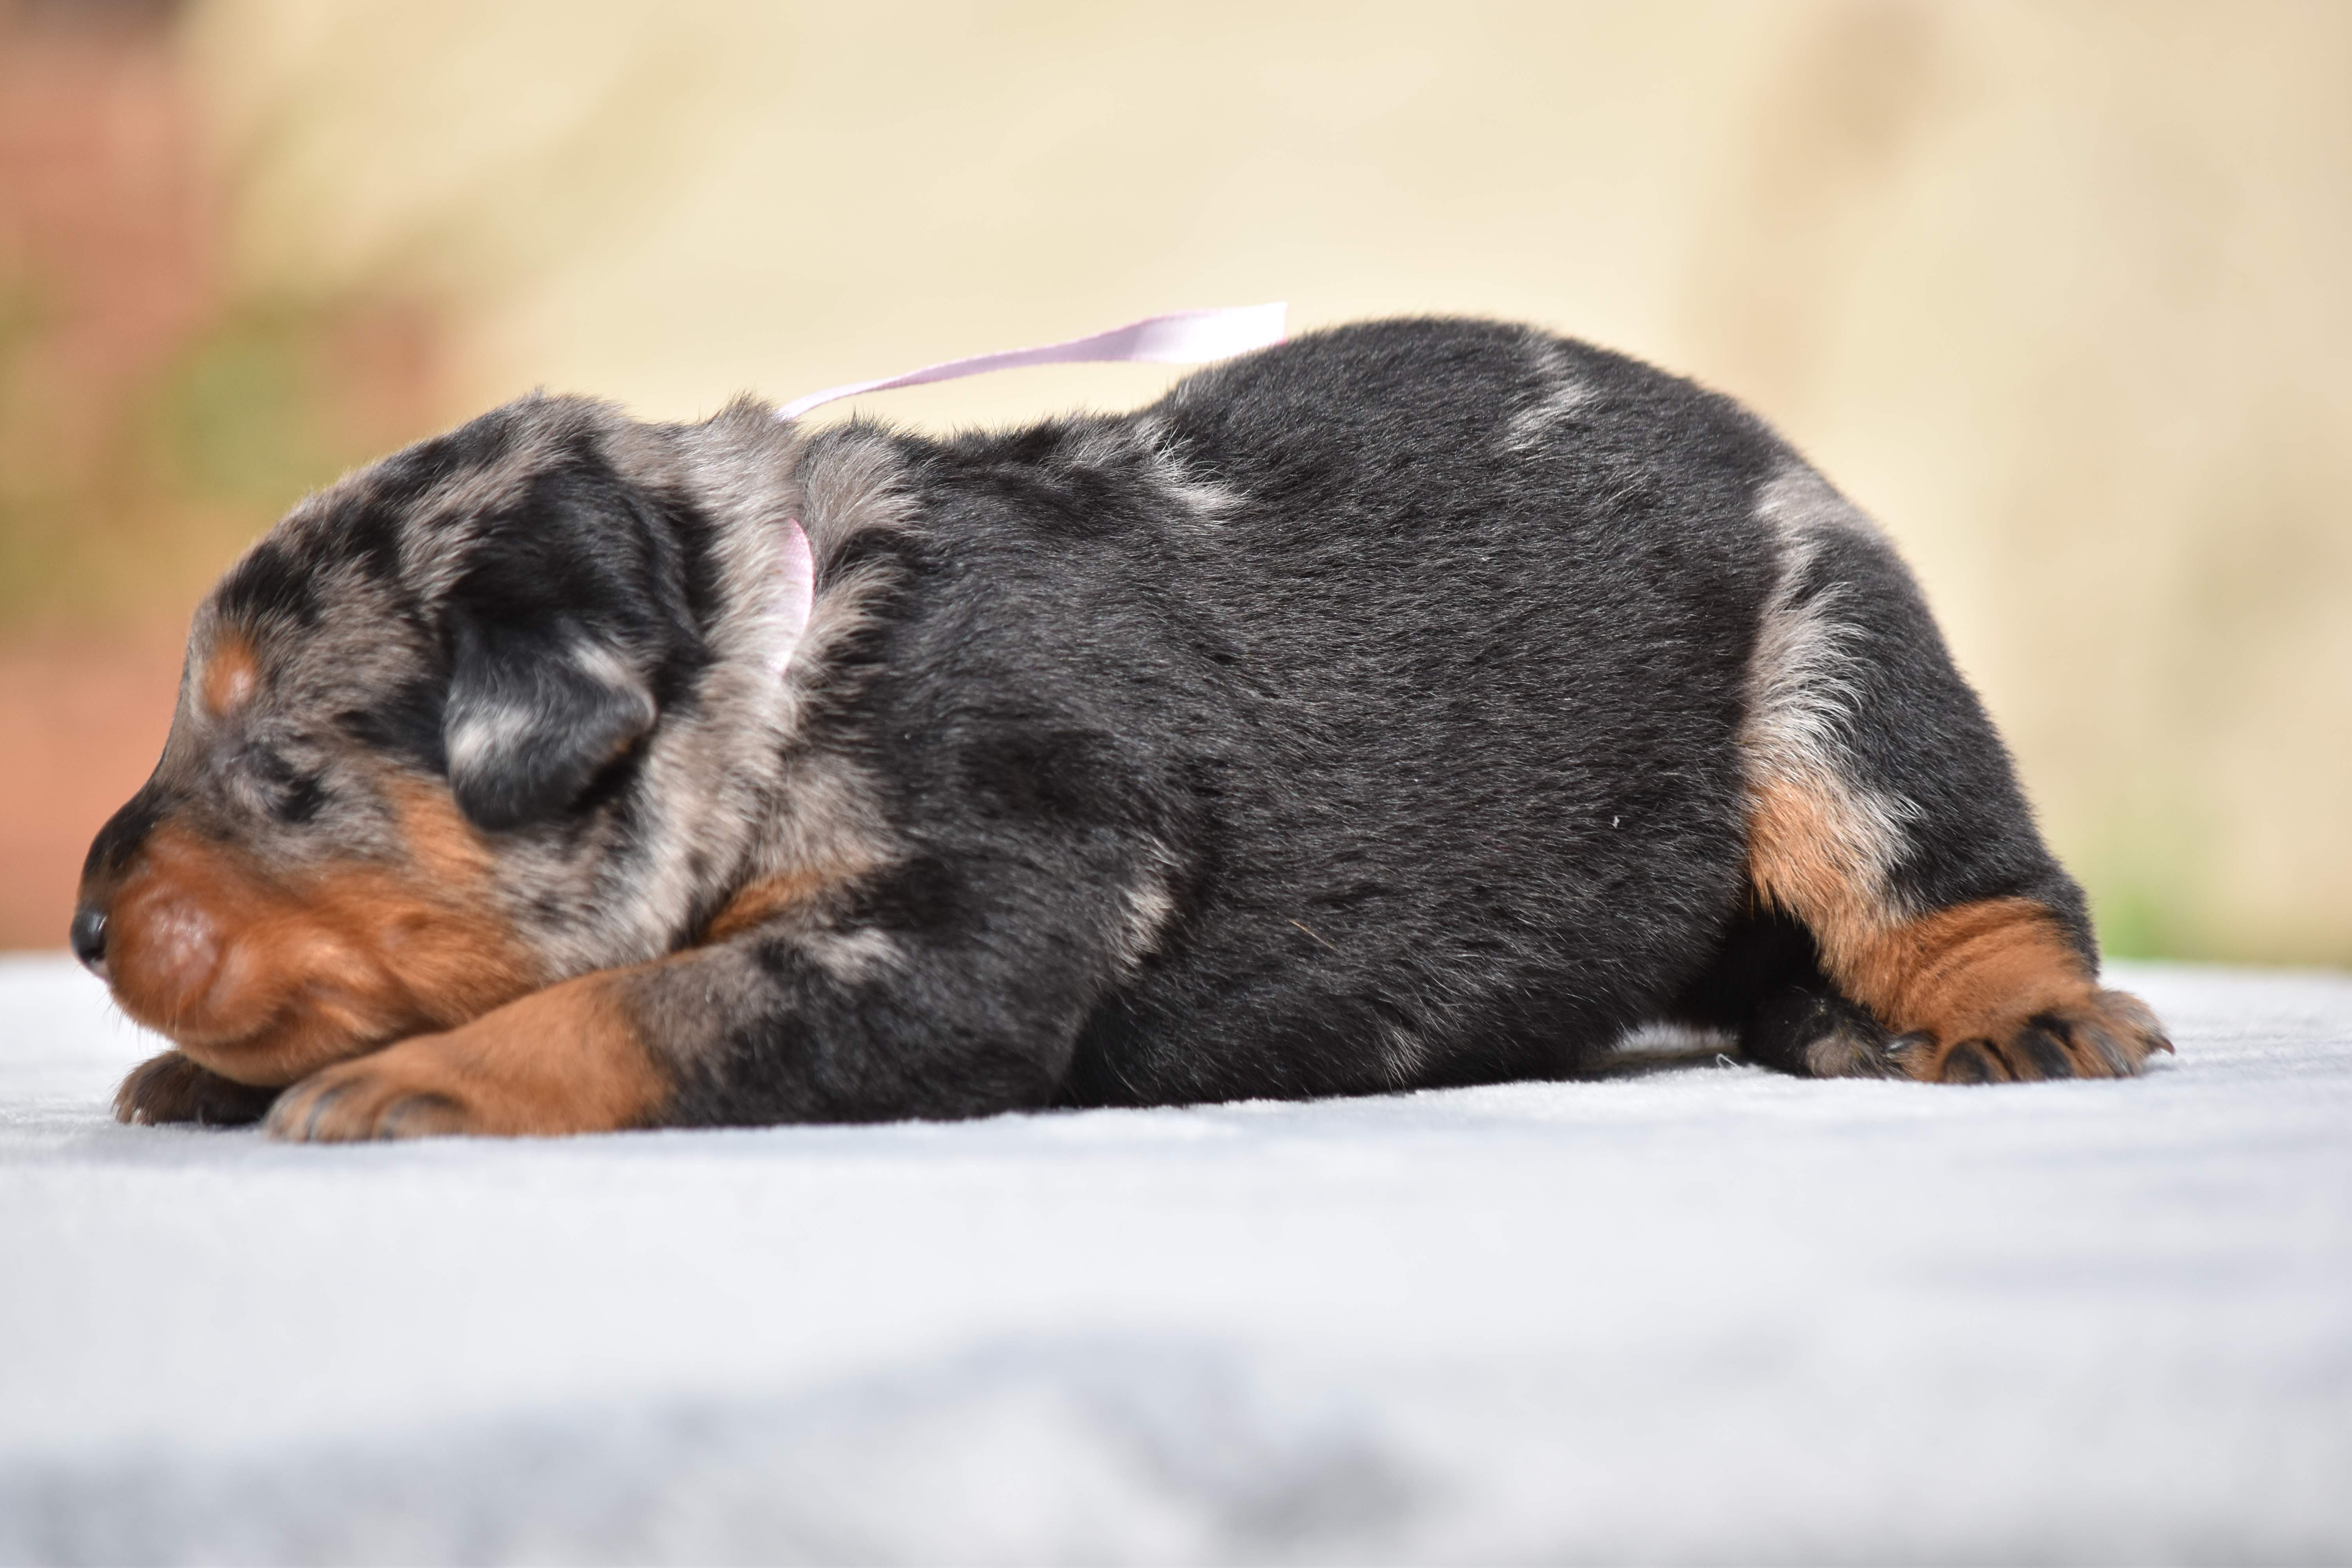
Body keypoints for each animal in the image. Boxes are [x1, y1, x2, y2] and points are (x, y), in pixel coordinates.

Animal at [69, 319, 2164, 1142]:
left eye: (289, 774)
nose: (84, 928)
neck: (778, 659)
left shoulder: (974, 905)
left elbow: (648, 999)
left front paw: (420, 1081)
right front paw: (218, 1079)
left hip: (1833, 684)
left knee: (1968, 879)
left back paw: (2003, 1017)